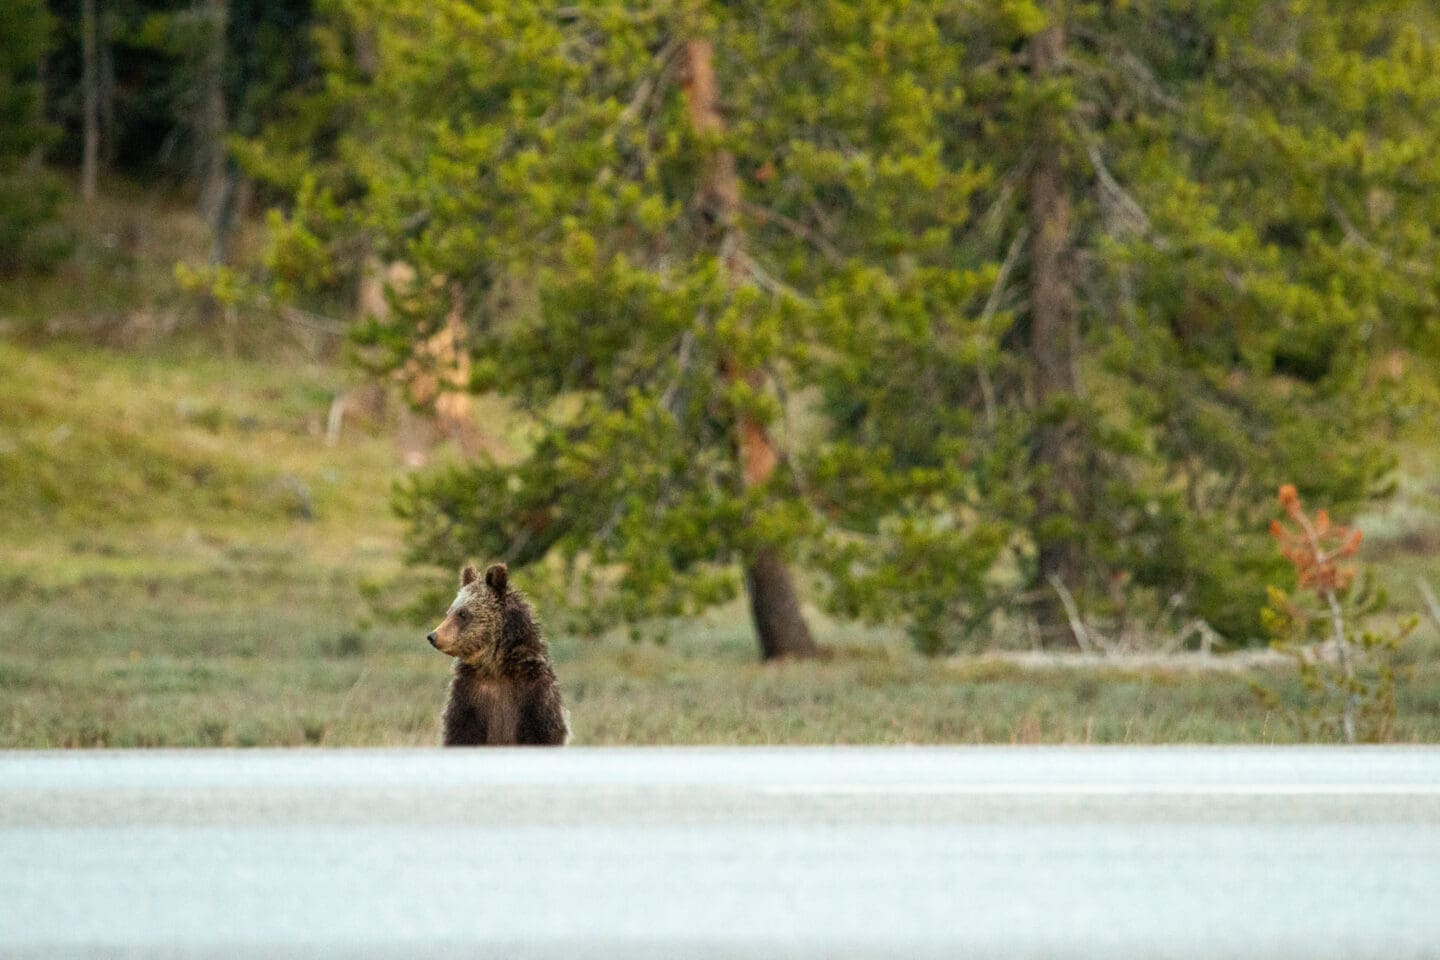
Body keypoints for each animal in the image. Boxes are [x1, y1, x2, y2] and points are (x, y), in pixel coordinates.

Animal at [426, 562, 569, 746]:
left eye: (462, 613)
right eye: (449, 612)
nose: (433, 636)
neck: (496, 668)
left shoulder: (534, 695)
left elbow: (543, 733)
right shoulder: (468, 696)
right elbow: (460, 733)